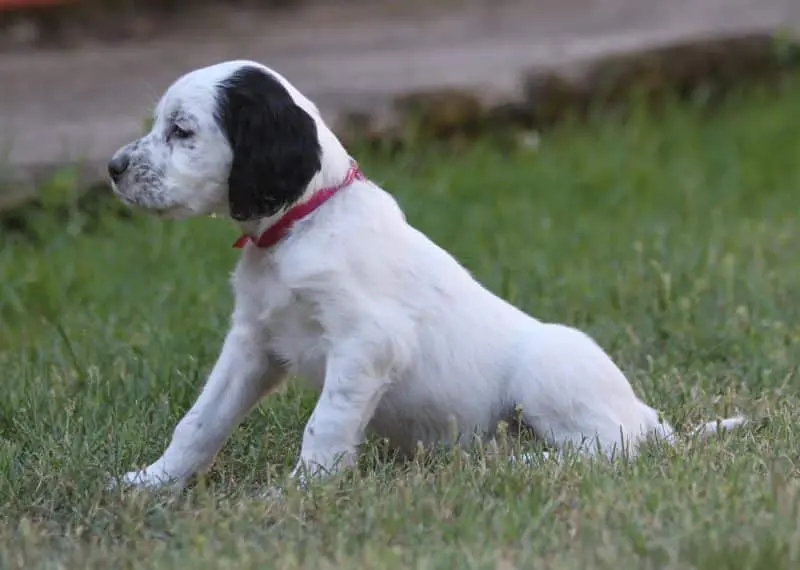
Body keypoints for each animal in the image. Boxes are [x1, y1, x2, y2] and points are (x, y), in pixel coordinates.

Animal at [108, 60, 746, 489]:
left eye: (182, 130)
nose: (113, 168)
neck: (302, 225)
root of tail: (651, 418)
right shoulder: (253, 343)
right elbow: (199, 422)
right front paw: (150, 483)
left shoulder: (367, 342)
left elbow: (324, 427)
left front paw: (300, 493)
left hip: (551, 368)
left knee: (609, 447)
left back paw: (523, 463)